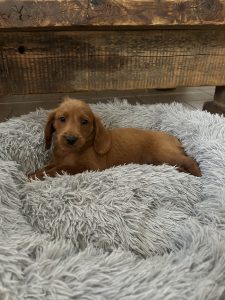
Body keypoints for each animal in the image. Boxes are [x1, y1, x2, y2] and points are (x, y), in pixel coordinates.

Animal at [29, 97, 201, 179]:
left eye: (84, 122)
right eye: (62, 119)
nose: (71, 139)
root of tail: (174, 137)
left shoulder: (88, 167)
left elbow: (57, 169)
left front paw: (34, 177)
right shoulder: (57, 161)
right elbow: (48, 167)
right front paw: (33, 173)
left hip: (163, 154)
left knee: (191, 160)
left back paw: (197, 175)